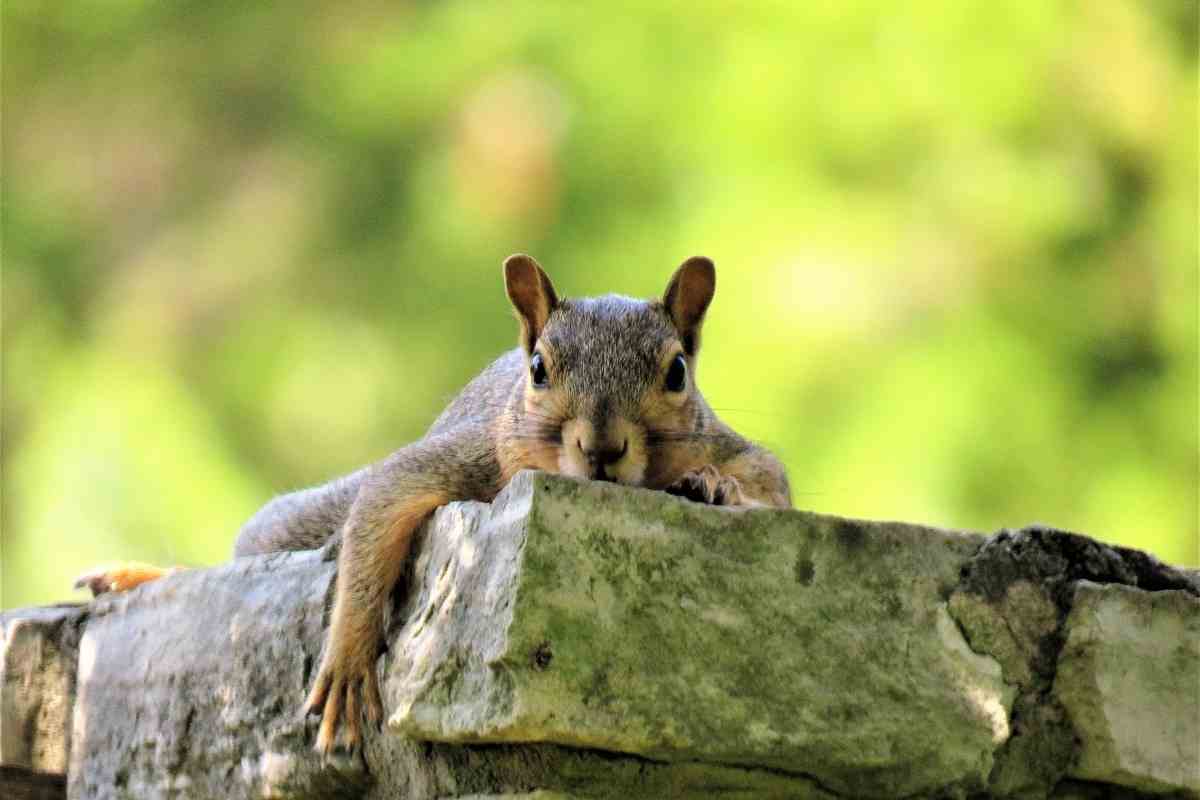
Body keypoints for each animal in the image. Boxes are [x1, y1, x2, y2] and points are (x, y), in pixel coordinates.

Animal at [75, 254, 791, 755]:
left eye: (676, 372)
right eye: (538, 368)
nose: (602, 448)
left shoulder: (729, 444)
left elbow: (769, 481)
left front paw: (714, 486)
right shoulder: (471, 456)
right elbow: (382, 504)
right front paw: (347, 662)